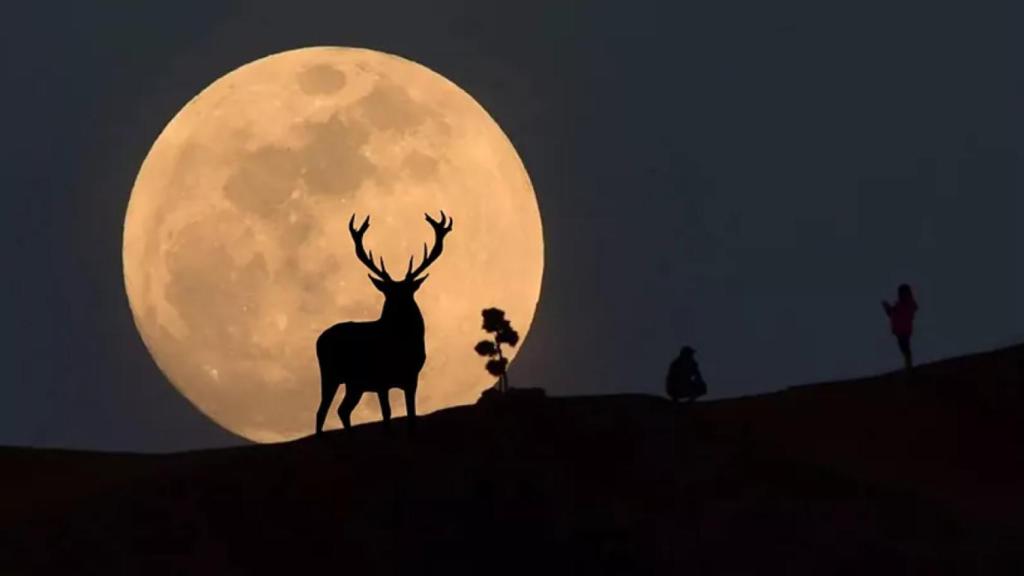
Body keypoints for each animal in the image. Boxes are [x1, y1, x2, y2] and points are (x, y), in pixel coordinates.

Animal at [315, 211, 453, 435]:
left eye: (407, 293)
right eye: (388, 295)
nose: (396, 312)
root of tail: (319, 339)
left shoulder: (411, 378)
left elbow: (411, 414)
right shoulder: (381, 380)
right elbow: (386, 415)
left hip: (355, 384)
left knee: (342, 409)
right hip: (330, 374)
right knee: (321, 411)